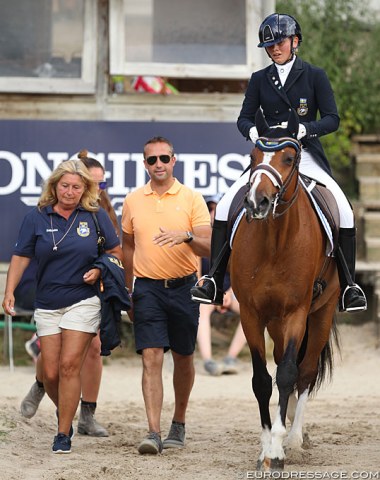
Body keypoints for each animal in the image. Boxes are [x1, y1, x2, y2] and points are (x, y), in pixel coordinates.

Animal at [230, 108, 340, 468]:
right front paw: (266, 447)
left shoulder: (297, 312)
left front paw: (278, 449)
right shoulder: (251, 314)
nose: (257, 202)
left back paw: (295, 437)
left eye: (289, 157)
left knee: (304, 371)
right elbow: (263, 380)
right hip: (275, 322)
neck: (275, 240)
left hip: (321, 314)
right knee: (280, 363)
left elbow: (290, 374)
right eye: (253, 157)